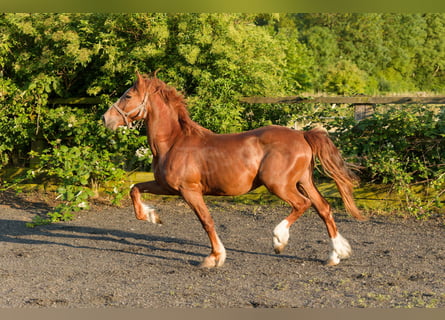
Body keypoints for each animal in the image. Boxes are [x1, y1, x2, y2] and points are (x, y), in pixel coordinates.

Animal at [102, 72, 366, 268]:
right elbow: (134, 189)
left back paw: (279, 240)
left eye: (128, 95)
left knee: (303, 204)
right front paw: (152, 216)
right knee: (323, 208)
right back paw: (335, 255)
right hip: (304, 181)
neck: (174, 142)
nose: (106, 119)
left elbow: (206, 221)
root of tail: (302, 134)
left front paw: (214, 258)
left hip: (279, 184)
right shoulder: (165, 186)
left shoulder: (189, 191)